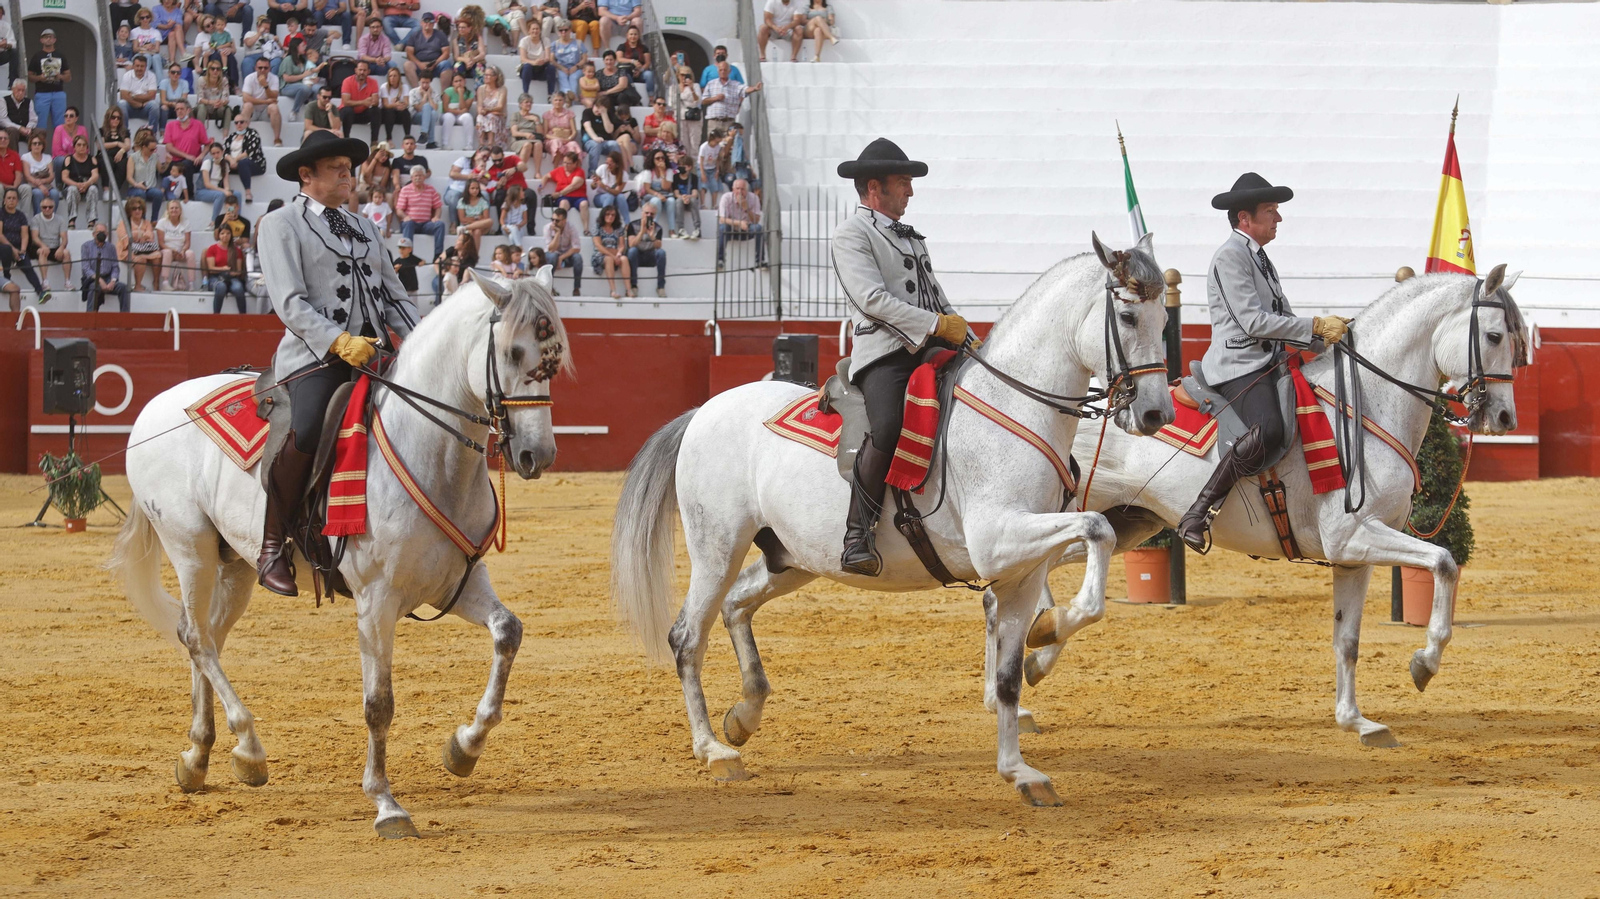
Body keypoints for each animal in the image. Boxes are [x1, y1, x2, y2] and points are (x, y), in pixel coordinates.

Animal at [108, 269, 570, 838]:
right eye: (513, 351)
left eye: (554, 357)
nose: (536, 455)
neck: (431, 452)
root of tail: (155, 406)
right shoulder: (376, 601)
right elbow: (379, 704)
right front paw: (386, 804)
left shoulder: (456, 583)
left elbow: (508, 632)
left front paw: (464, 747)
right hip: (189, 548)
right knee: (196, 636)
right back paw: (249, 747)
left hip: (235, 565)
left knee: (205, 637)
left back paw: (201, 756)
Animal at [611, 234, 1176, 806]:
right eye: (1128, 315)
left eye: (1162, 316)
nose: (1157, 415)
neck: (1014, 408)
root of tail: (704, 411)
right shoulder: (997, 540)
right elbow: (1098, 528)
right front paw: (1052, 627)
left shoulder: (1022, 568)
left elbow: (1010, 677)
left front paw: (1020, 769)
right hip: (717, 548)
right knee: (687, 636)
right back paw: (714, 750)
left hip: (792, 558)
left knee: (736, 605)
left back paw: (745, 714)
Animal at [1010, 265, 1527, 749]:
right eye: (1495, 336)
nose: (1504, 418)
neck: (1364, 408)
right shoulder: (1356, 536)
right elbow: (1444, 562)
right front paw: (1424, 663)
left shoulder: (1353, 557)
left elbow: (1348, 640)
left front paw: (1356, 721)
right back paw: (1036, 655)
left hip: (1125, 524)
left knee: (1040, 574)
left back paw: (1039, 649)